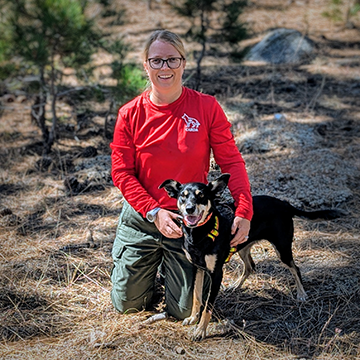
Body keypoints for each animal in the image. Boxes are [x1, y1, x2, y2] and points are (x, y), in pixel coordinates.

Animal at [160, 174, 340, 340]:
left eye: (201, 196)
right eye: (183, 196)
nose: (190, 209)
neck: (200, 233)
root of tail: (285, 204)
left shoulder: (217, 274)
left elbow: (208, 307)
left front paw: (200, 331)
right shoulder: (198, 268)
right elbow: (196, 297)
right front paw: (192, 318)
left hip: (282, 248)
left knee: (295, 268)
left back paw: (301, 294)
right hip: (243, 246)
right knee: (250, 266)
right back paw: (235, 286)